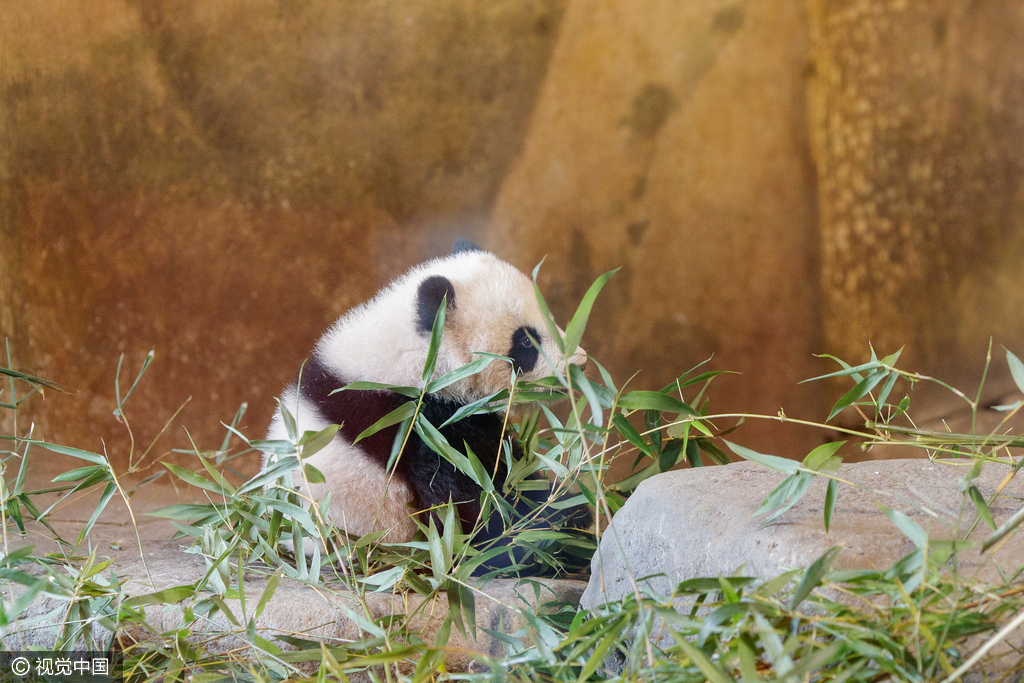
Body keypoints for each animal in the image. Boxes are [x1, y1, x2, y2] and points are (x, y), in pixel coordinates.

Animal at [264, 240, 593, 573]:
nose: (578, 364)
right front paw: (560, 523)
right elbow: (470, 499)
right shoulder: (421, 420)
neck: (421, 353)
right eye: (526, 341)